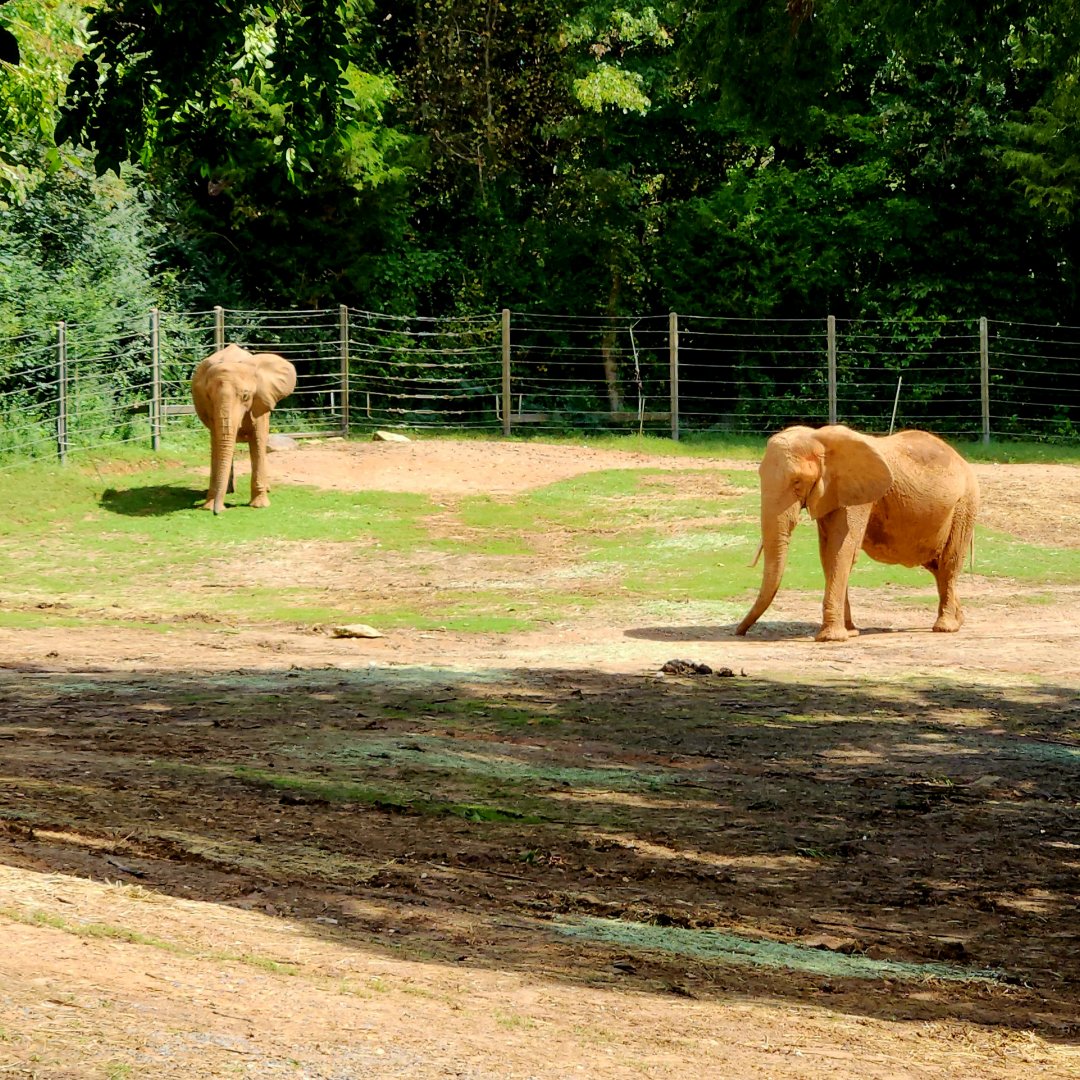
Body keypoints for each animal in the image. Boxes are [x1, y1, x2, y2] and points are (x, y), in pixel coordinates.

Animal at [190, 343, 297, 514]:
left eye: (246, 396)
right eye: (209, 397)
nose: (217, 512)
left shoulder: (259, 402)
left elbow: (258, 441)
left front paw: (260, 505)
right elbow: (217, 444)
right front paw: (209, 506)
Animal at [735, 424, 980, 642]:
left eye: (797, 481)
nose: (739, 632)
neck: (819, 438)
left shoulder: (856, 493)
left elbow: (841, 550)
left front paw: (831, 638)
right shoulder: (832, 492)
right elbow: (828, 554)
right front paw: (850, 632)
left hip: (964, 505)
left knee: (949, 562)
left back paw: (945, 627)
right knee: (936, 567)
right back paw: (959, 620)